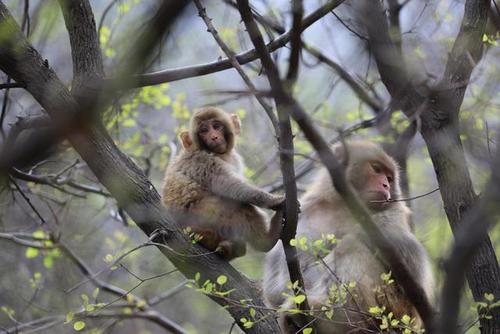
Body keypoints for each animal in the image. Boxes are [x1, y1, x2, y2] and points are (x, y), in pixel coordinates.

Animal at [163, 105, 286, 260]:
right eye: (204, 130)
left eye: (216, 126)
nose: (214, 136)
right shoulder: (202, 160)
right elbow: (228, 184)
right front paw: (273, 201)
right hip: (203, 214)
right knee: (238, 206)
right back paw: (266, 241)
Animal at [262, 140, 434, 332]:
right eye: (376, 169)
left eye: (389, 178)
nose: (386, 186)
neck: (343, 204)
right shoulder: (305, 211)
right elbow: (277, 287)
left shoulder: (394, 212)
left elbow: (413, 267)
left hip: (396, 308)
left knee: (352, 246)